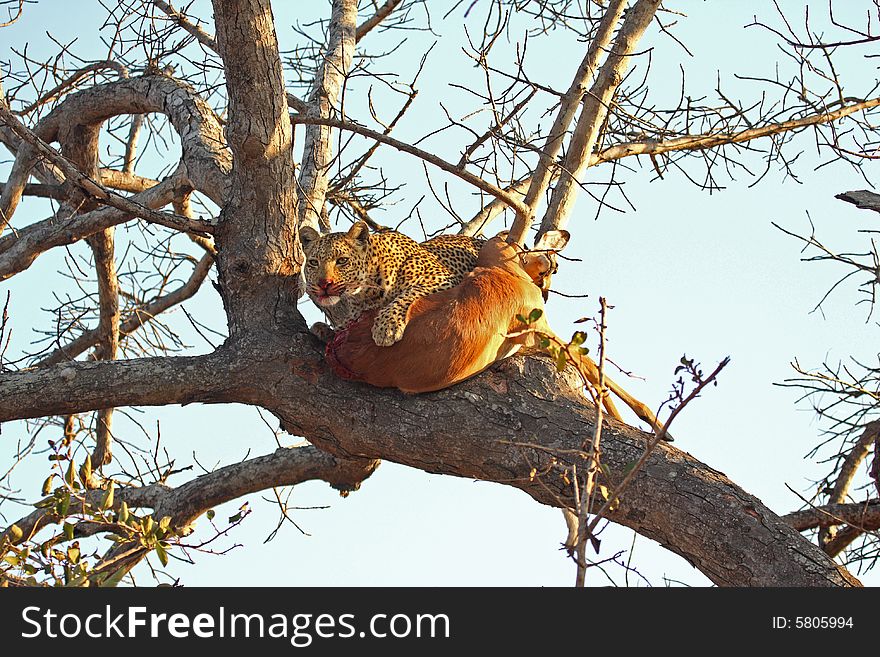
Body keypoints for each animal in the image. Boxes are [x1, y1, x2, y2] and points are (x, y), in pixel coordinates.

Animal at [300, 220, 482, 346]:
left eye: (342, 261)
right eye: (313, 263)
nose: (324, 284)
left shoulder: (442, 278)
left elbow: (409, 293)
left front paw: (386, 326)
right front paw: (325, 330)